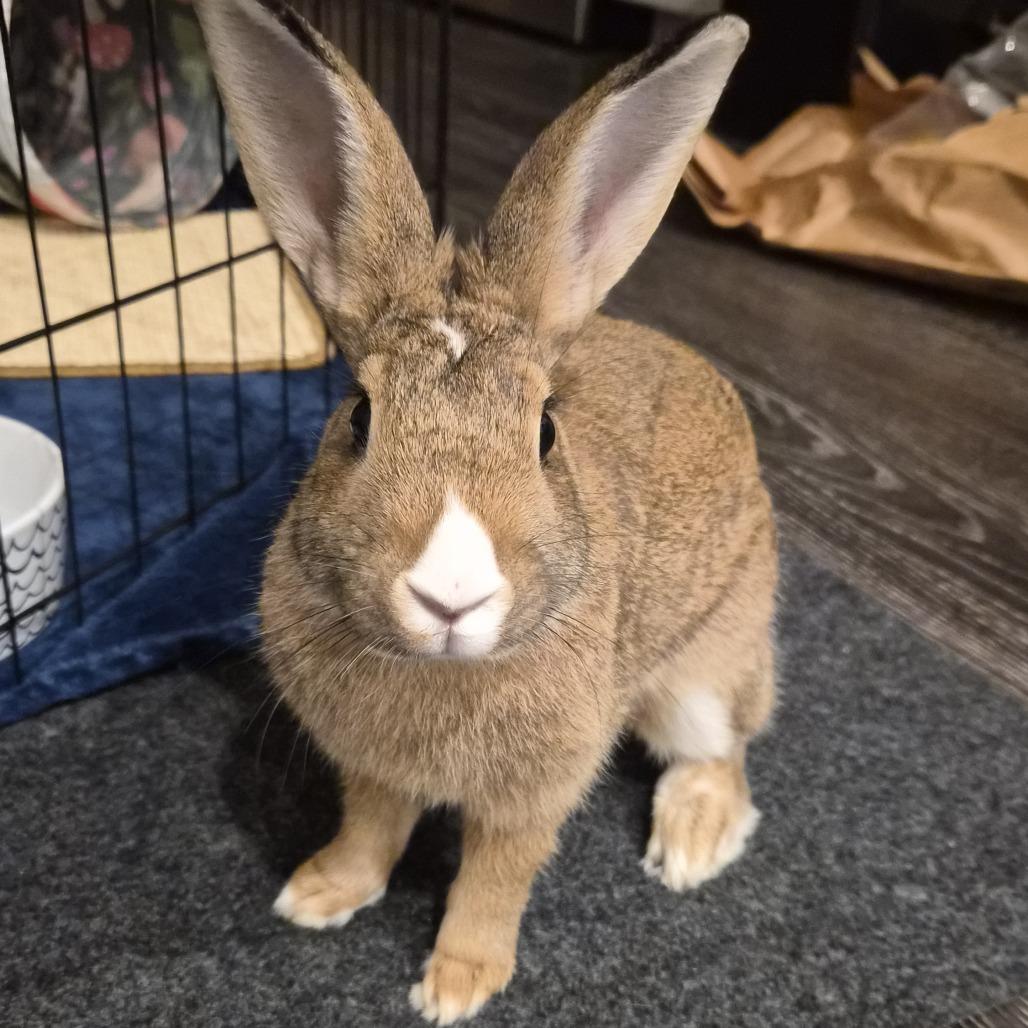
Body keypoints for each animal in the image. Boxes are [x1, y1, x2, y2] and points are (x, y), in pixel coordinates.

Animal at [197, 0, 775, 1021]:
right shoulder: (370, 766)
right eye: (359, 417)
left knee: (726, 751)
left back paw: (690, 843)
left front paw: (458, 985)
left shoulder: (532, 794)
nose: (450, 596)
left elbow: (494, 880)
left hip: (703, 676)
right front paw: (319, 893)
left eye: (545, 432)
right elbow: (371, 828)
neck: (443, 670)